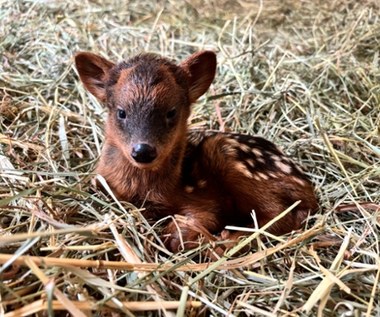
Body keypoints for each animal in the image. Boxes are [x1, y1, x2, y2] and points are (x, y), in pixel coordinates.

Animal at [75, 50, 318, 251]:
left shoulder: (205, 202)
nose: (143, 151)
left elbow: (198, 222)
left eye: (171, 112)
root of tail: (307, 187)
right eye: (121, 112)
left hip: (227, 153)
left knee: (283, 213)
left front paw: (184, 236)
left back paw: (228, 239)